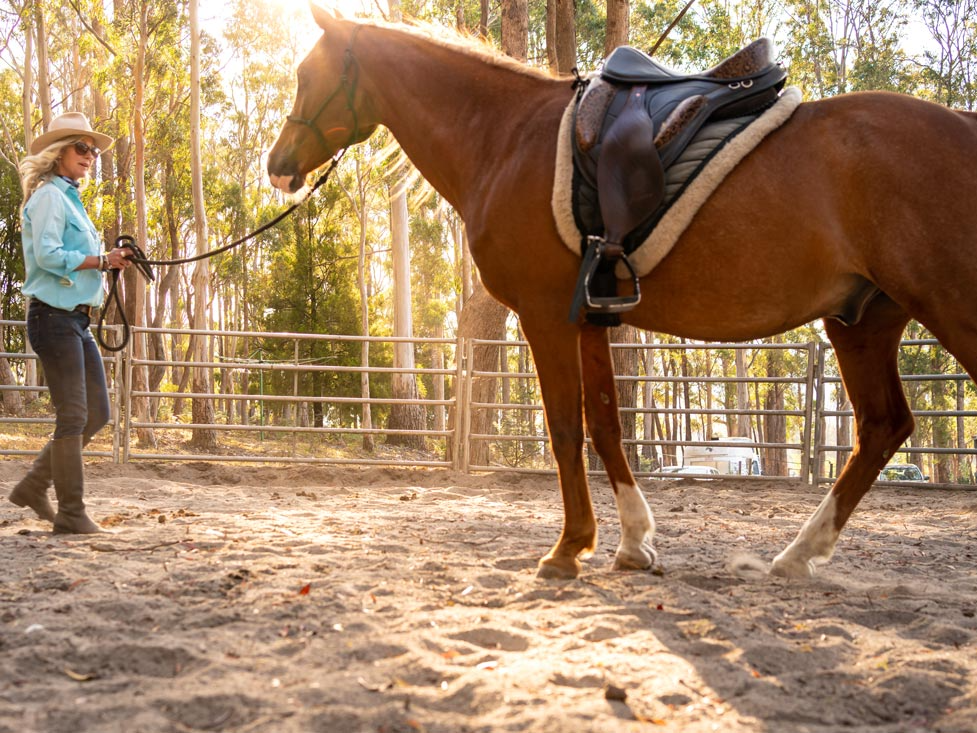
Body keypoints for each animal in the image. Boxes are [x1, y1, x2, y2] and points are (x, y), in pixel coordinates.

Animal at [268, 7, 977, 580]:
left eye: (306, 74)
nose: (278, 166)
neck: (505, 137)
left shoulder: (546, 317)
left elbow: (564, 428)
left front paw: (568, 548)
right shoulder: (588, 319)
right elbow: (606, 425)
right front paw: (633, 543)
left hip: (946, 307)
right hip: (862, 320)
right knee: (883, 427)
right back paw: (796, 556)